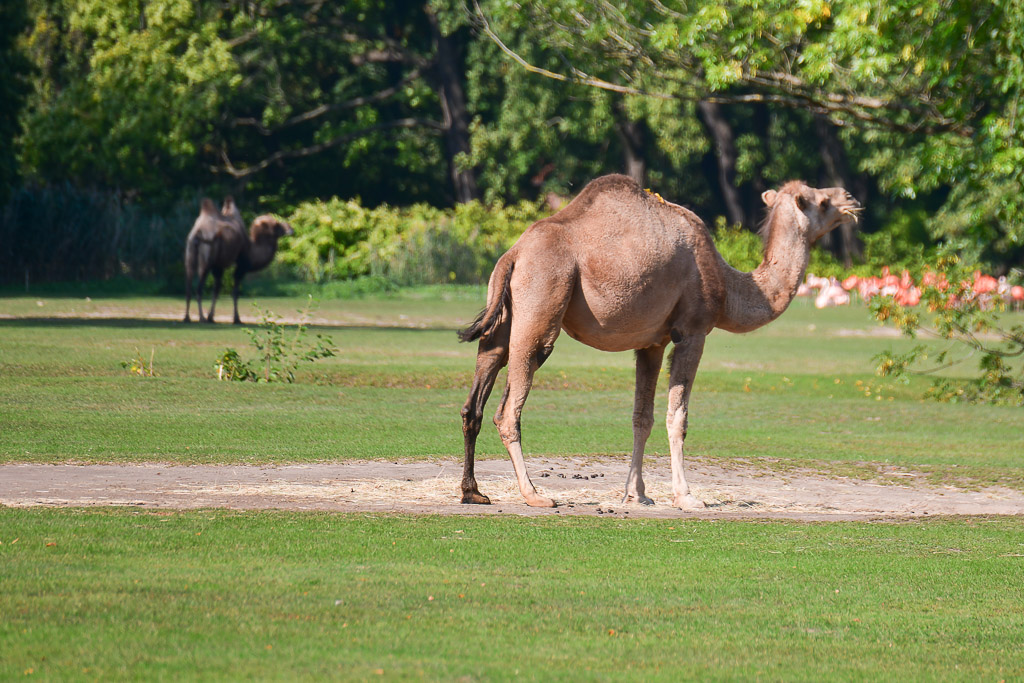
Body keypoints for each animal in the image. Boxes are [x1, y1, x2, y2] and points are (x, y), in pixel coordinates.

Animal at [458, 174, 861, 509]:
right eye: (820, 201)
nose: (850, 197)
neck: (727, 284)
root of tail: (513, 254)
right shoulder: (692, 331)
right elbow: (677, 417)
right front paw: (687, 498)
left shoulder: (651, 343)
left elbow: (643, 417)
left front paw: (636, 495)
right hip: (542, 296)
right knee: (509, 405)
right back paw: (534, 495)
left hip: (504, 312)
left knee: (477, 391)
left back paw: (473, 492)